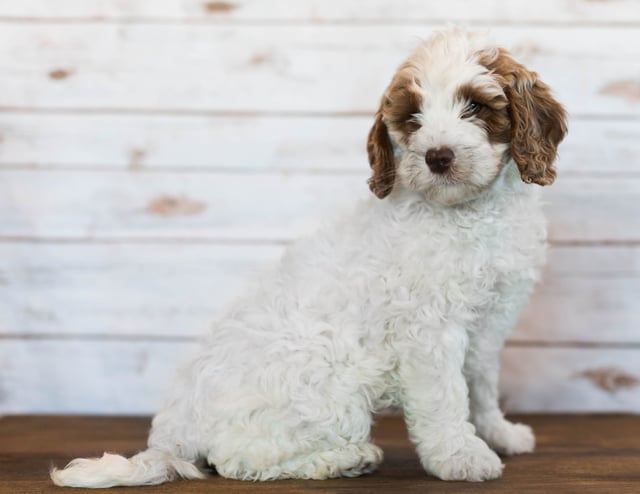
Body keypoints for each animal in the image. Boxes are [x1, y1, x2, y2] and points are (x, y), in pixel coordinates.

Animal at [52, 27, 568, 486]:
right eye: (413, 118)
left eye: (475, 106)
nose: (437, 156)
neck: (471, 213)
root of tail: (173, 432)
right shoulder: (429, 333)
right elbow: (446, 398)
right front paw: (460, 458)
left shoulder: (487, 325)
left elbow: (480, 386)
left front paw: (498, 434)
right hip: (331, 384)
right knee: (236, 460)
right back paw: (343, 459)